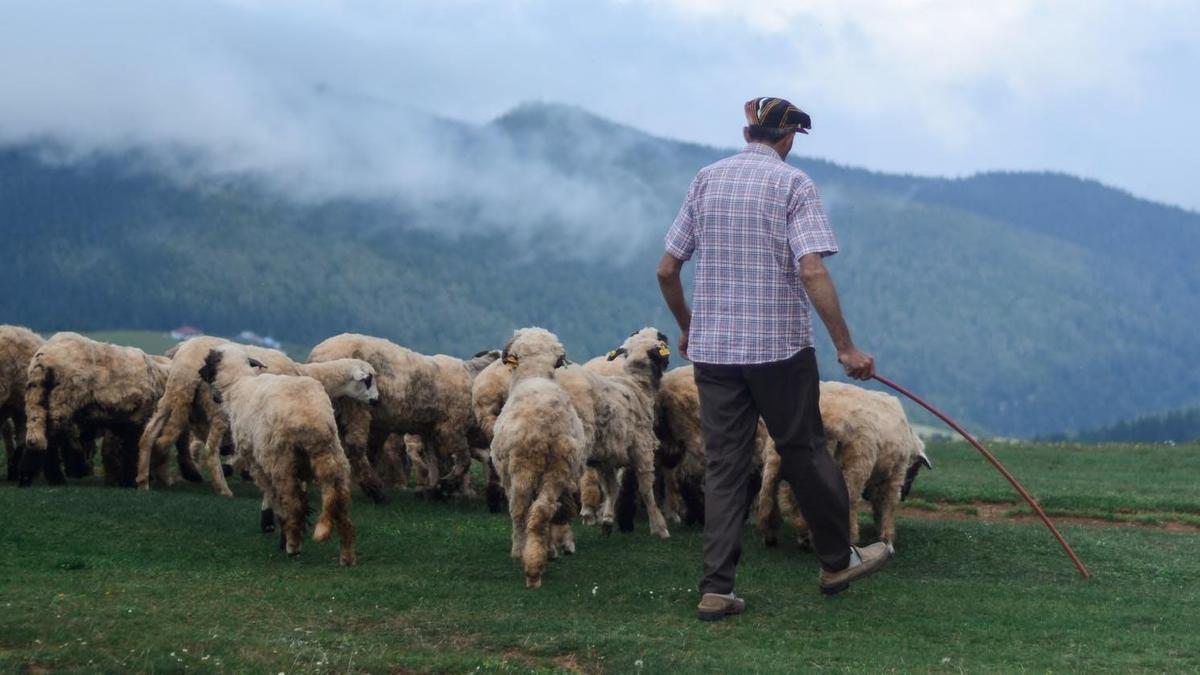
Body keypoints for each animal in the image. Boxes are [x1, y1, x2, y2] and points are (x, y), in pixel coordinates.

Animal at [19, 331, 174, 482]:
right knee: (51, 436)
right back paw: (55, 477)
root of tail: (44, 357)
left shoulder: (127, 422)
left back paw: (26, 476)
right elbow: (132, 451)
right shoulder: (139, 419)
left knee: (35, 434)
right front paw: (130, 480)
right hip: (63, 399)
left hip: (35, 395)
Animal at [309, 333, 501, 502]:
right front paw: (444, 486)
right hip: (355, 407)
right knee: (355, 448)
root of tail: (316, 356)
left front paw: (433, 490)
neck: (474, 376)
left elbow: (434, 462)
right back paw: (375, 490)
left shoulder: (430, 431)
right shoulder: (452, 427)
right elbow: (463, 461)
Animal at [484, 326, 583, 583]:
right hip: (559, 467)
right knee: (543, 510)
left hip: (521, 468)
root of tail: (544, 423)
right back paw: (539, 559)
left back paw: (520, 552)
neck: (535, 375)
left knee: (520, 510)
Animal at [753, 379, 931, 547]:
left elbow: (878, 501)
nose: (906, 494)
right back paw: (848, 537)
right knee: (848, 498)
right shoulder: (896, 471)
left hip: (775, 455)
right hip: (856, 463)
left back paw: (776, 532)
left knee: (769, 491)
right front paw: (887, 536)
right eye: (915, 469)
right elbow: (889, 501)